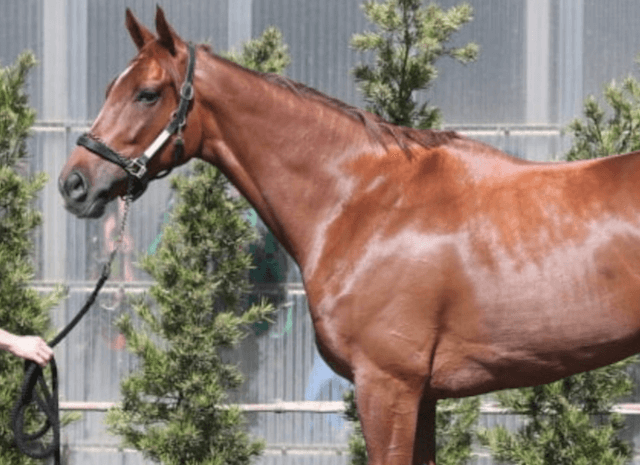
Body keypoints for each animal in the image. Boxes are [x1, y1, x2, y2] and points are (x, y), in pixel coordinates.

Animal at [58, 7, 640, 465]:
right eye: (111, 88)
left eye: (147, 93)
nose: (74, 183)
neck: (363, 201)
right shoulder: (422, 395)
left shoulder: (388, 385)